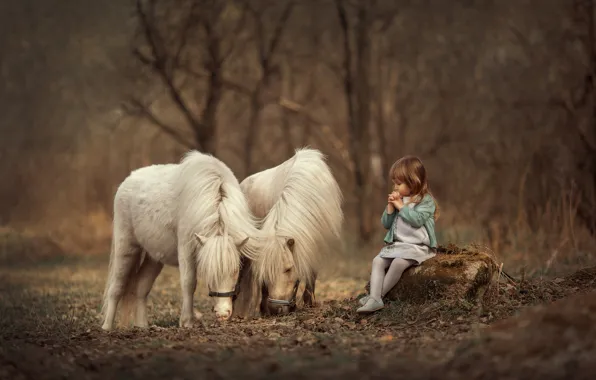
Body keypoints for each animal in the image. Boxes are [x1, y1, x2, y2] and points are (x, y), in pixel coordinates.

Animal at [101, 150, 264, 332]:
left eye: (235, 271)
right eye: (208, 272)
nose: (222, 313)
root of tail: (127, 181)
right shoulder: (187, 248)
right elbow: (189, 283)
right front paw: (187, 321)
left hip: (154, 257)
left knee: (141, 287)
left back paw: (142, 326)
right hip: (126, 248)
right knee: (116, 287)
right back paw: (106, 327)